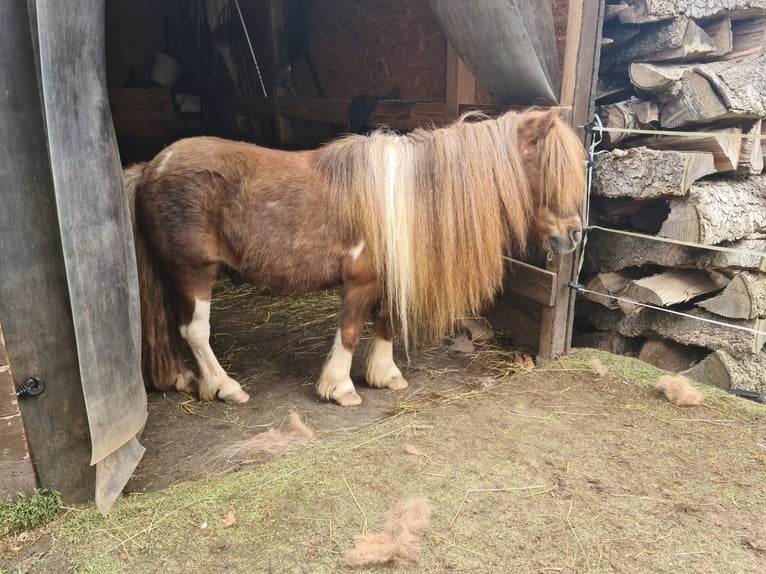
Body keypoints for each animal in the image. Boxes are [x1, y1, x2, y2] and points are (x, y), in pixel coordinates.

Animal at [124, 107, 586, 406]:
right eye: (547, 169)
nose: (574, 235)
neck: (404, 198)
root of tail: (151, 168)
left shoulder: (388, 278)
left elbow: (385, 323)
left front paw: (384, 376)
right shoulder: (361, 282)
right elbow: (348, 331)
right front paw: (341, 388)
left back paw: (185, 379)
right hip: (195, 272)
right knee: (195, 331)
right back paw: (225, 387)